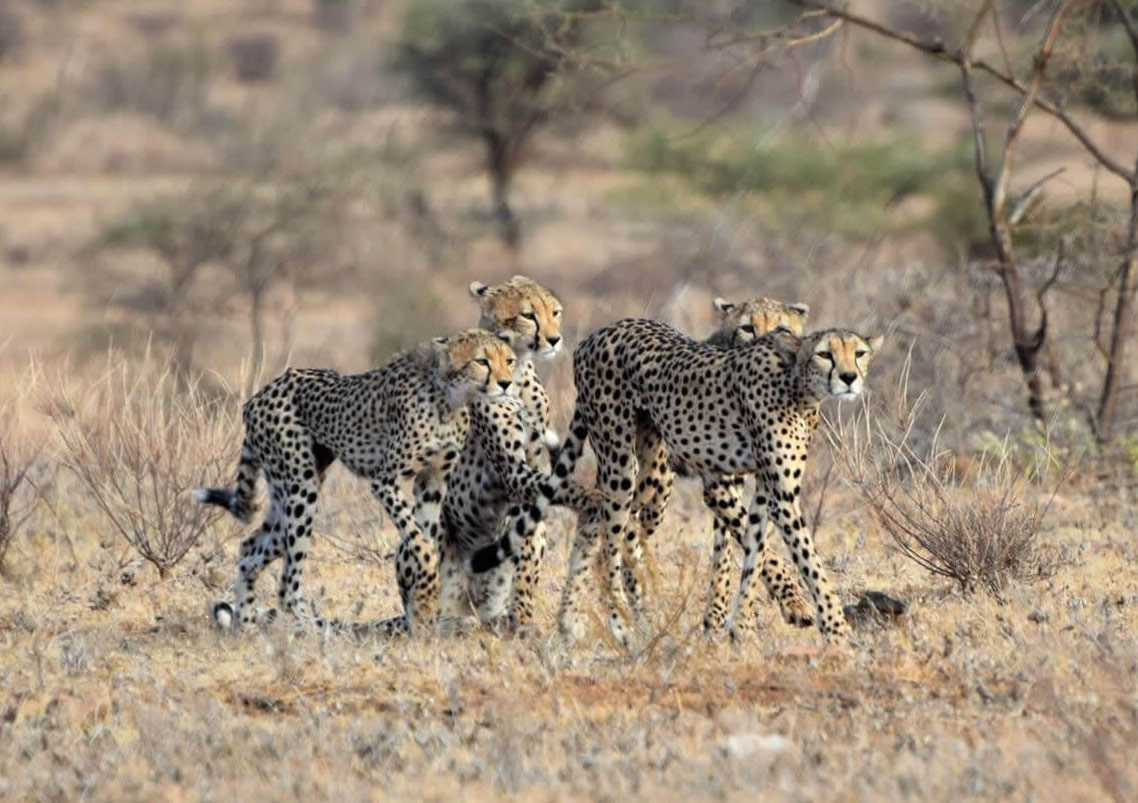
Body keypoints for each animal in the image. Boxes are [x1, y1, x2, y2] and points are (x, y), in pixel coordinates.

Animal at [198, 325, 521, 632]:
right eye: (481, 361)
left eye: (509, 361)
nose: (506, 383)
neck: (450, 398)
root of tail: (258, 396)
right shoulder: (385, 480)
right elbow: (421, 543)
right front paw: (425, 596)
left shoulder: (432, 483)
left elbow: (426, 536)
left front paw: (423, 608)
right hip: (303, 489)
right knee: (288, 585)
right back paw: (308, 626)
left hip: (287, 492)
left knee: (250, 549)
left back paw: (244, 623)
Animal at [537, 318, 883, 646]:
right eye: (825, 354)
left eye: (859, 353)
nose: (849, 378)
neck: (796, 384)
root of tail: (594, 336)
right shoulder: (780, 497)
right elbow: (809, 562)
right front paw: (837, 629)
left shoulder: (765, 491)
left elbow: (755, 554)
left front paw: (741, 630)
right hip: (621, 465)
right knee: (608, 545)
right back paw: (622, 627)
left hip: (646, 472)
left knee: (597, 520)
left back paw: (574, 621)